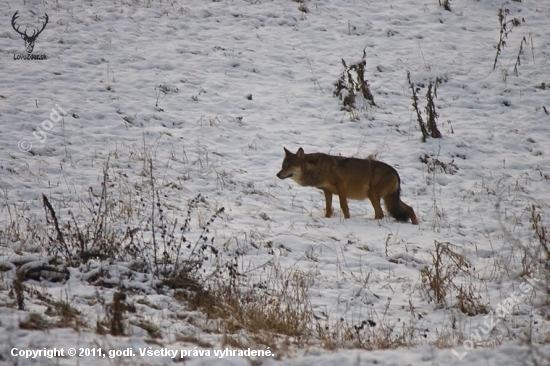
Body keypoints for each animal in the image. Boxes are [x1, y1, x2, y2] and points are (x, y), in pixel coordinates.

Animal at [278, 147, 420, 224]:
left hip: (374, 195)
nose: (277, 174)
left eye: (289, 165)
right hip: (388, 198)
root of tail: (395, 171)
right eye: (282, 165)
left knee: (380, 214)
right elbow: (328, 208)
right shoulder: (327, 191)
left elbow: (344, 206)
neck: (318, 168)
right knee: (410, 209)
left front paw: (347, 220)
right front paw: (327, 218)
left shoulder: (341, 186)